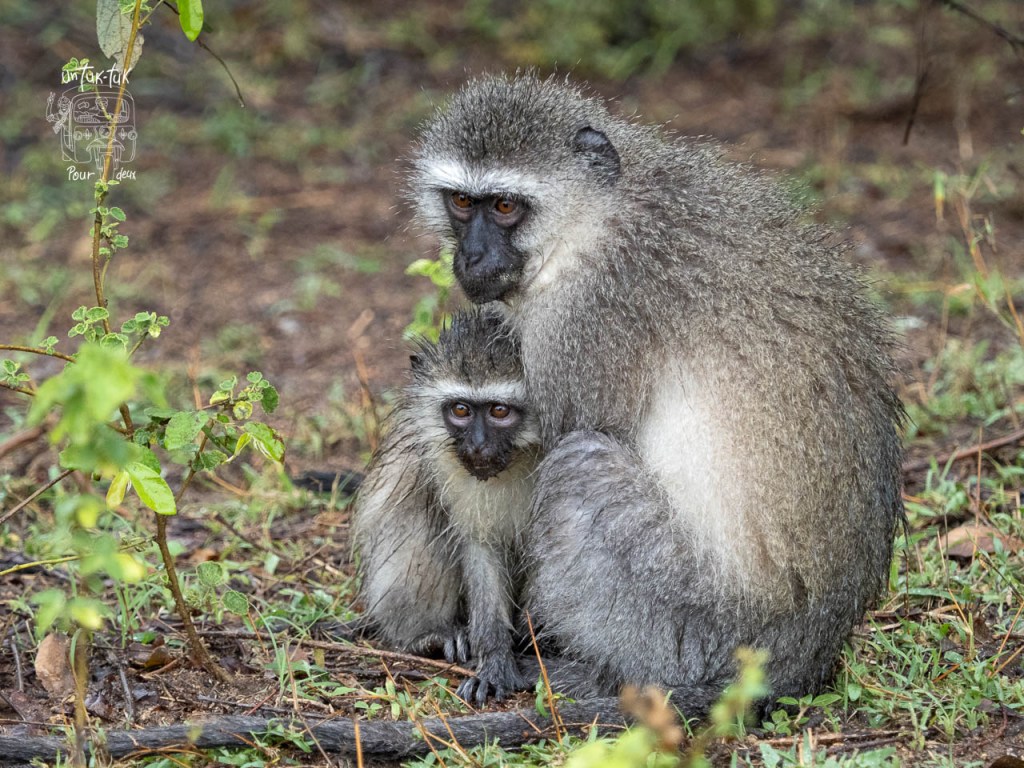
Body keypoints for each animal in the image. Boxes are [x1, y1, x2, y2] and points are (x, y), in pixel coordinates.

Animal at [351, 304, 542, 704]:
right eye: (460, 410)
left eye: (499, 411)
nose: (478, 447)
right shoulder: (444, 462)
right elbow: (480, 545)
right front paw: (494, 657)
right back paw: (430, 636)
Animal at [407, 74, 905, 716]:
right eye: (463, 203)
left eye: (506, 206)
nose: (469, 256)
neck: (594, 222)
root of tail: (803, 657)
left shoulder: (586, 320)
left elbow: (542, 454)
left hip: (691, 618)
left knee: (580, 464)